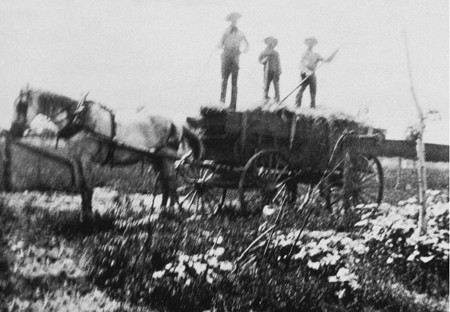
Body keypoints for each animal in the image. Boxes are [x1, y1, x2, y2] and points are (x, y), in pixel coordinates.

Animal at [9, 86, 203, 221]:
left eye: (21, 105)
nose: (14, 131)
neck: (78, 119)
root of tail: (176, 121)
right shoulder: (76, 160)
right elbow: (81, 186)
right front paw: (85, 213)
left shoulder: (86, 159)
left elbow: (88, 186)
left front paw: (88, 217)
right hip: (156, 159)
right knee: (164, 183)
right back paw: (162, 212)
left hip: (166, 157)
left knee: (171, 182)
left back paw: (174, 211)